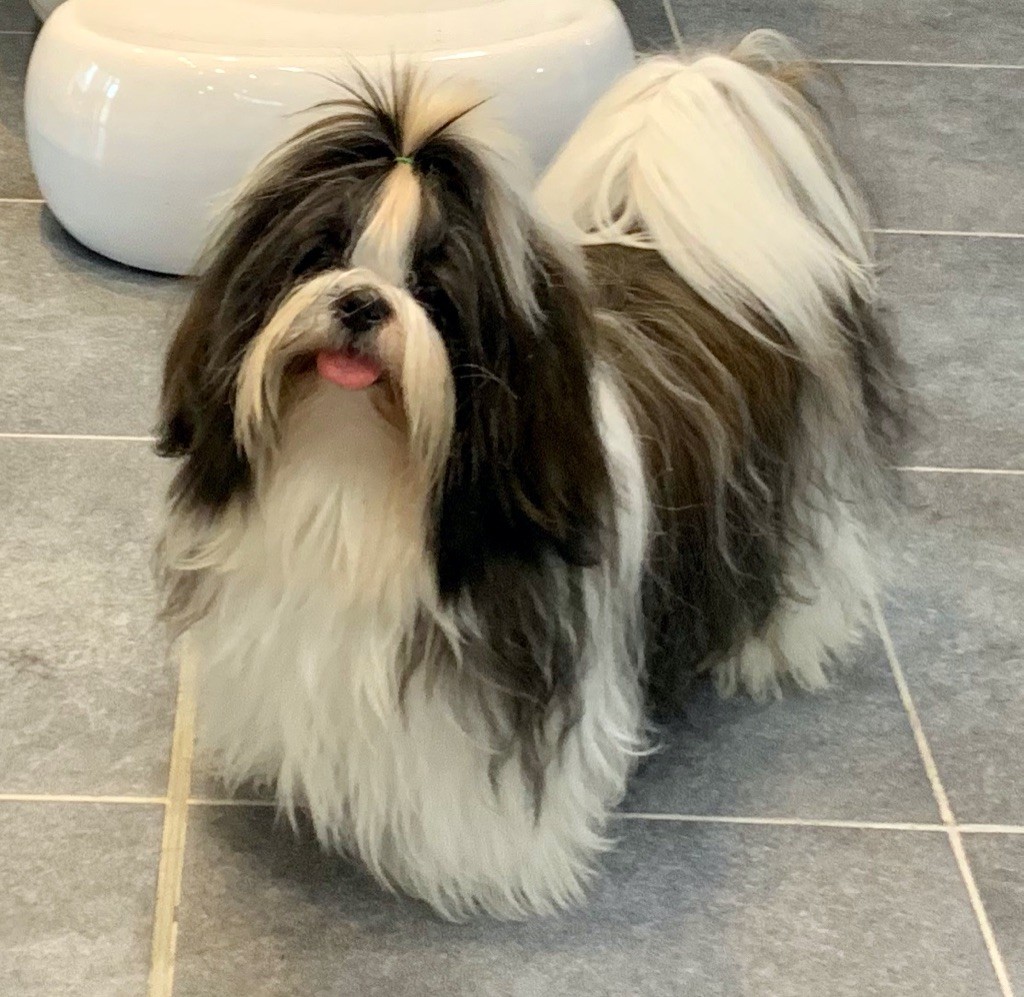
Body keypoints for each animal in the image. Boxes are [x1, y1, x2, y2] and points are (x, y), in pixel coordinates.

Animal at [156, 31, 907, 919]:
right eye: (321, 255)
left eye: (433, 290)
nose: (362, 301)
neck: (352, 467)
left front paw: (493, 864)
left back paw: (779, 642)